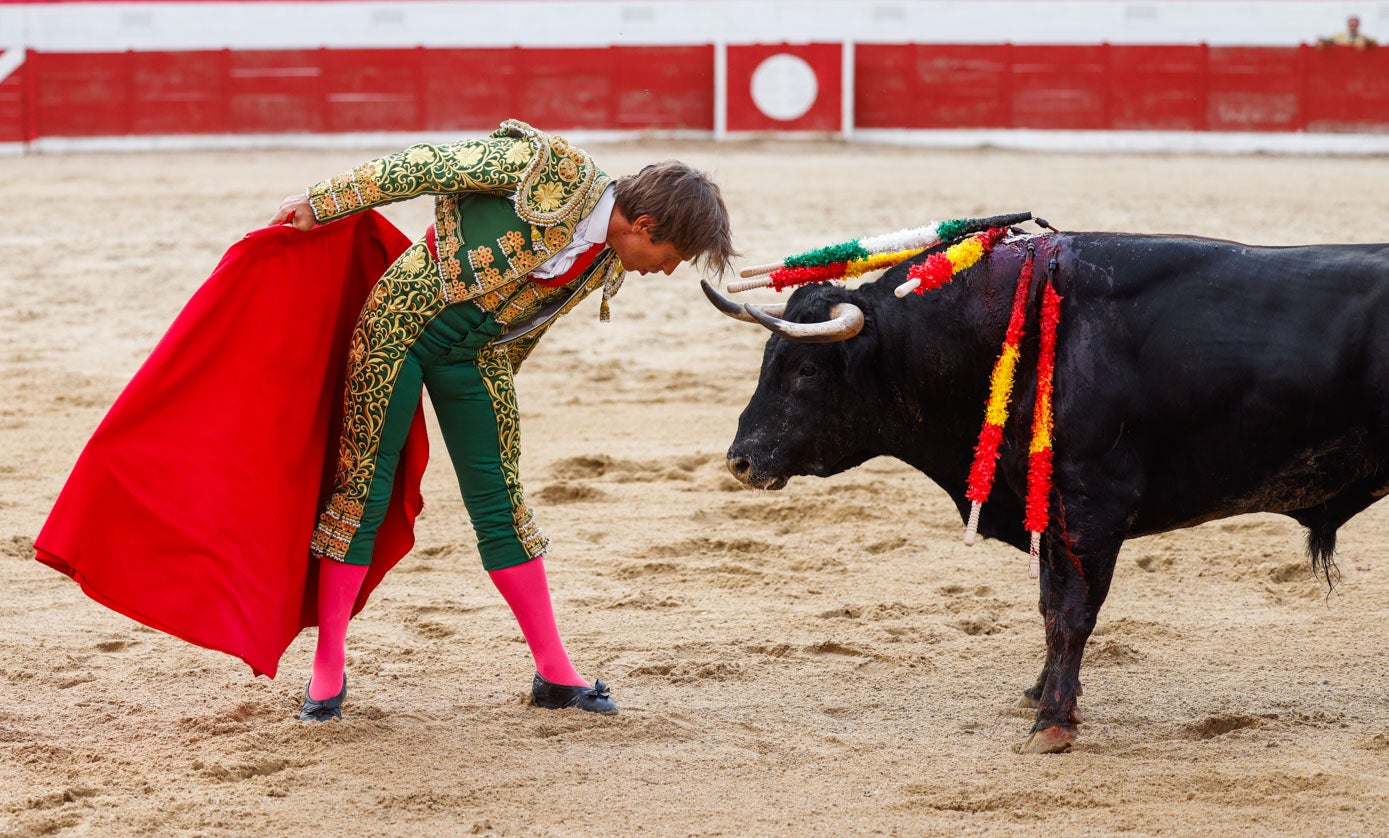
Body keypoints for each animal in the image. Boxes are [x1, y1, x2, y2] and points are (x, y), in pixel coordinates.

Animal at [705, 229, 1389, 756]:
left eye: (806, 369)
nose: (741, 461)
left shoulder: (1091, 507)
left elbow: (1071, 613)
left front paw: (1052, 724)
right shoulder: (1051, 512)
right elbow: (1047, 605)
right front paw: (1044, 694)